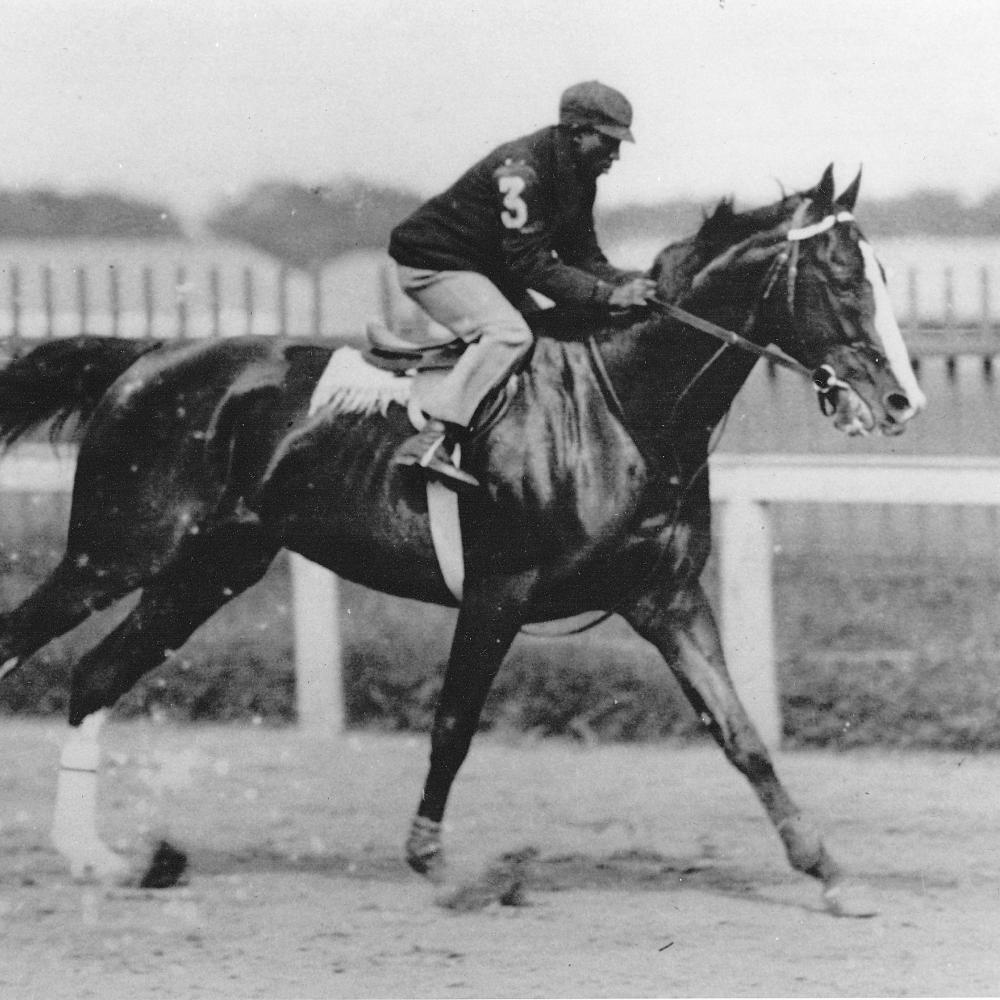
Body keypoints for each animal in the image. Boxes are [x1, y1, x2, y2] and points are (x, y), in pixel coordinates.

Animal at [0, 164, 924, 916]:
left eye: (882, 273)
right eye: (843, 277)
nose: (902, 401)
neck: (623, 403)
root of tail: (146, 357)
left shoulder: (665, 597)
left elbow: (742, 736)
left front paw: (830, 874)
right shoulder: (497, 590)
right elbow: (453, 724)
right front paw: (439, 866)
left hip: (209, 569)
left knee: (94, 675)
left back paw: (105, 860)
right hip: (117, 551)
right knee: (29, 640)